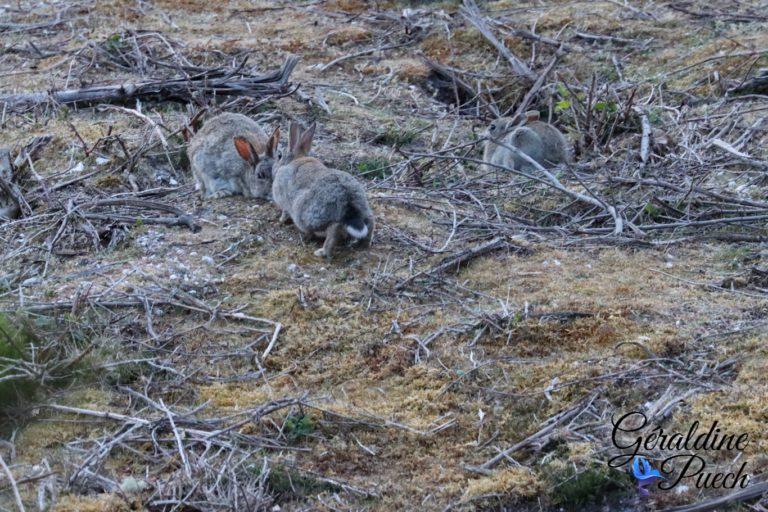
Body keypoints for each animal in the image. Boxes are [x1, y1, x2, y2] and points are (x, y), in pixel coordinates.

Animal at [272, 121, 376, 260]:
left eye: (279, 156)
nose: (274, 167)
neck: (296, 159)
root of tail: (348, 199)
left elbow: (284, 212)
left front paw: (281, 221)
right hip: (362, 207)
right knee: (370, 222)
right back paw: (364, 244)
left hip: (309, 215)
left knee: (333, 229)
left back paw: (322, 252)